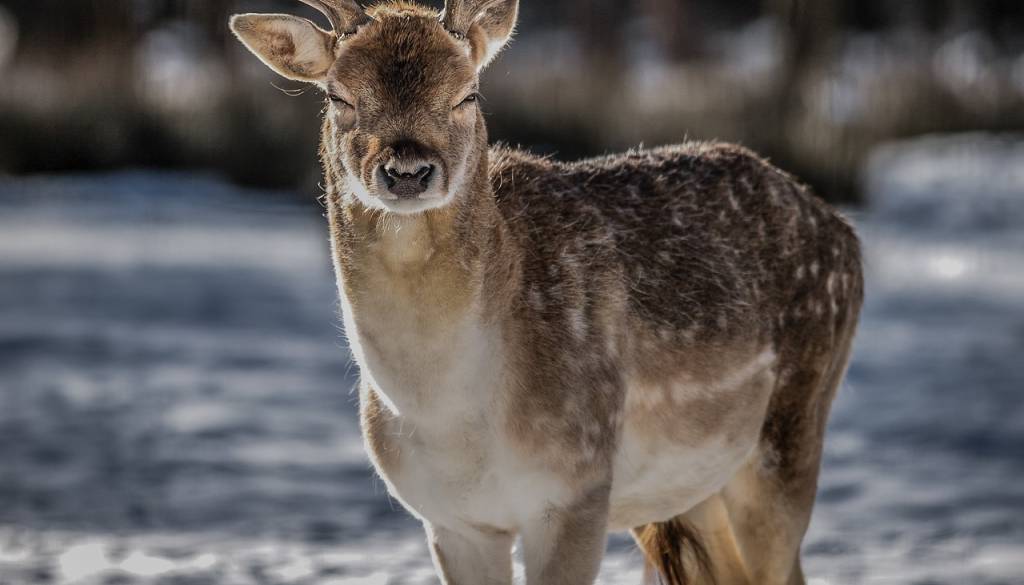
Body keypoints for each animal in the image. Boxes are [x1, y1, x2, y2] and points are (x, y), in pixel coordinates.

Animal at [229, 1, 863, 583]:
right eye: (339, 97)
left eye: (468, 95)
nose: (407, 171)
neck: (454, 417)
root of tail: (843, 231)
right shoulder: (450, 520)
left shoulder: (575, 487)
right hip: (689, 492)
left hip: (792, 431)